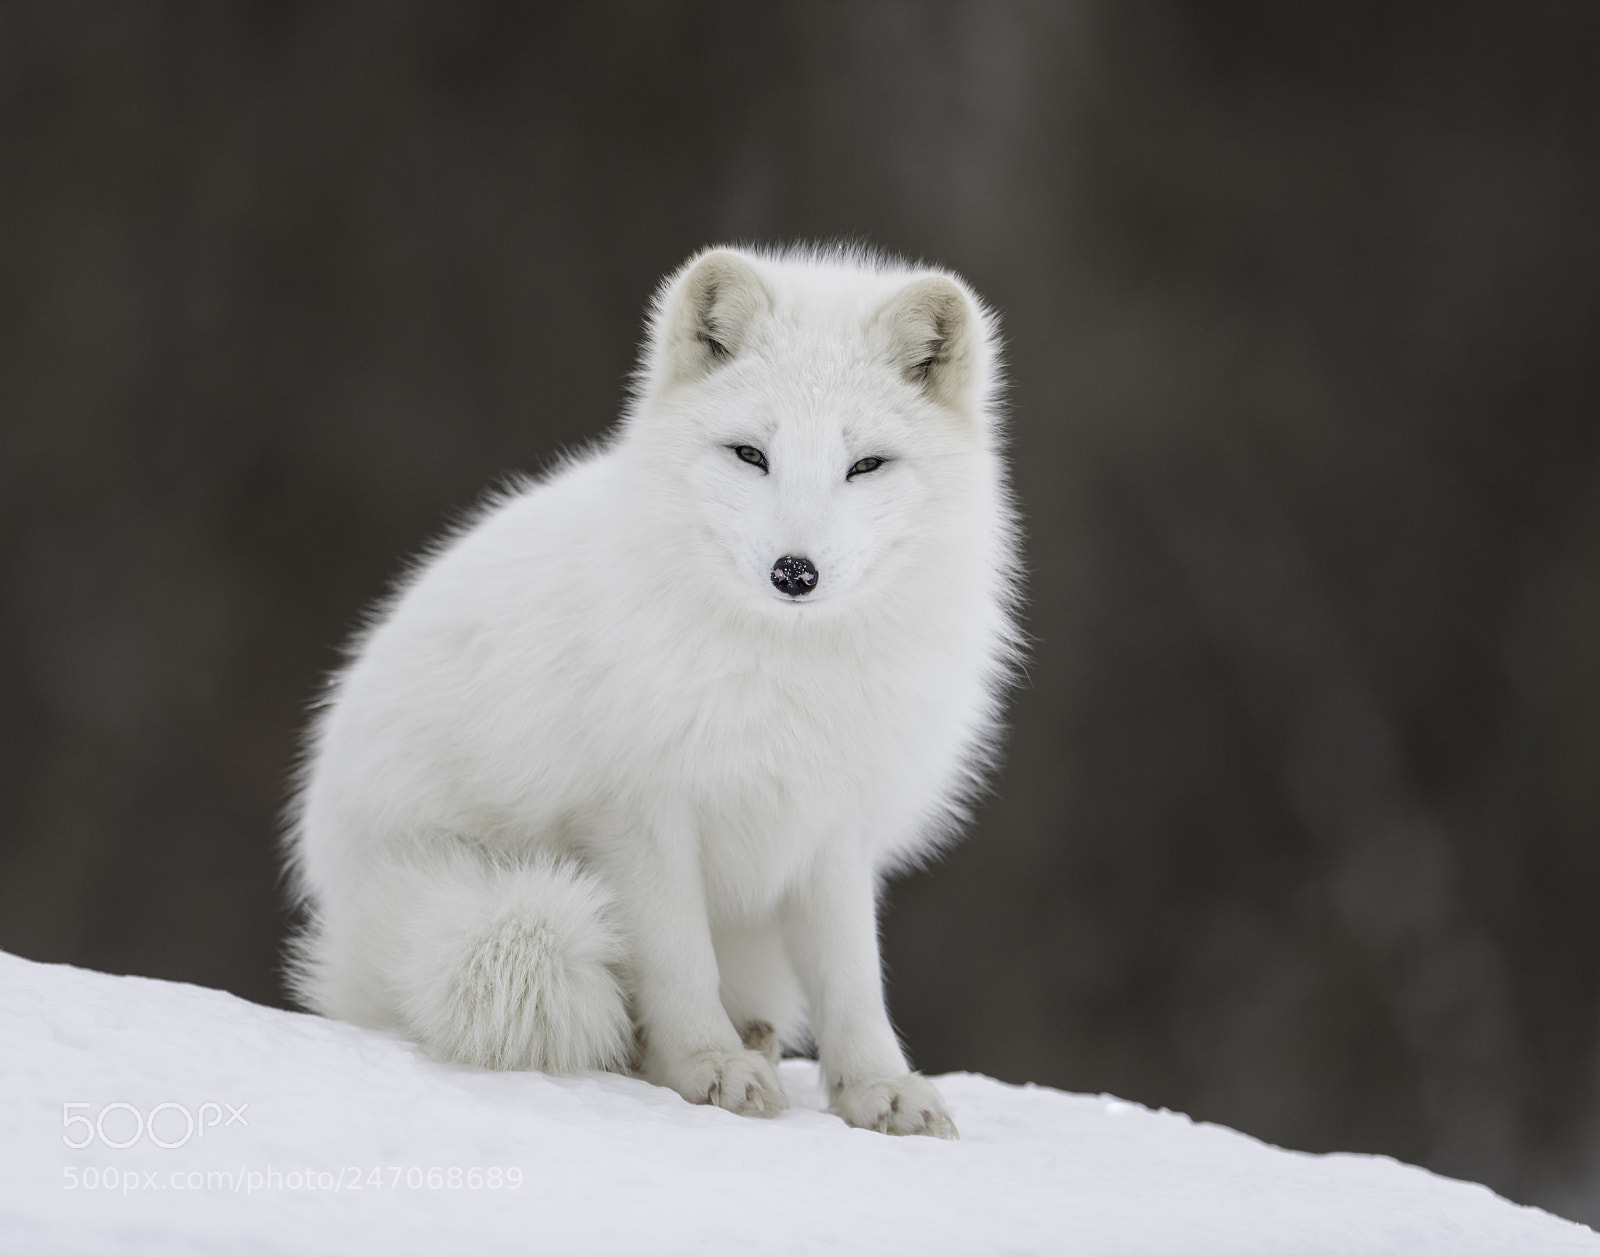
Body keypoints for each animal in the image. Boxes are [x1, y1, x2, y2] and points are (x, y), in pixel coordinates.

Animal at [284, 244, 1022, 1137]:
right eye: (751, 454)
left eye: (865, 464)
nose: (795, 571)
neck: (785, 676)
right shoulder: (639, 816)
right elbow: (677, 961)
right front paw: (706, 1067)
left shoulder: (831, 828)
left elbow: (853, 979)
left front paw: (878, 1088)